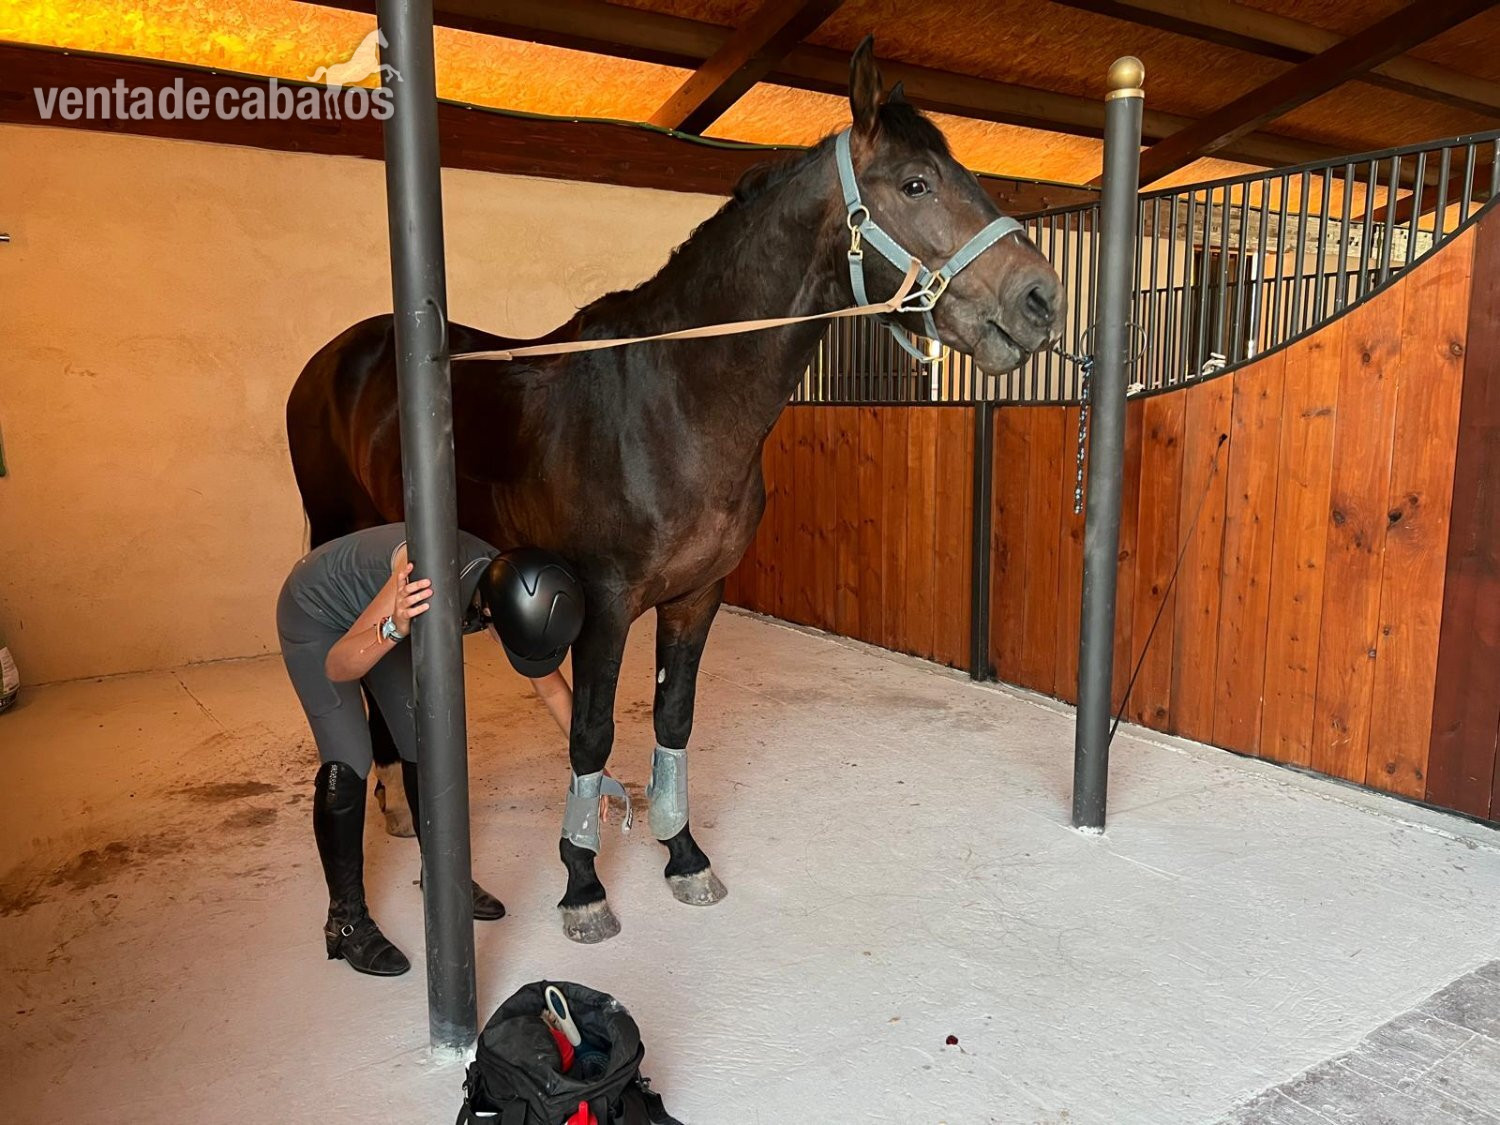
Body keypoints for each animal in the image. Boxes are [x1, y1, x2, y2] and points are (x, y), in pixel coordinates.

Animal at [286, 40, 1064, 944]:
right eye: (915, 183)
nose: (1042, 299)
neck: (677, 400)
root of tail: (338, 356)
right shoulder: (603, 602)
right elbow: (590, 735)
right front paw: (583, 884)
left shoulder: (698, 597)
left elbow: (673, 721)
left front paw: (684, 855)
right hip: (340, 531)